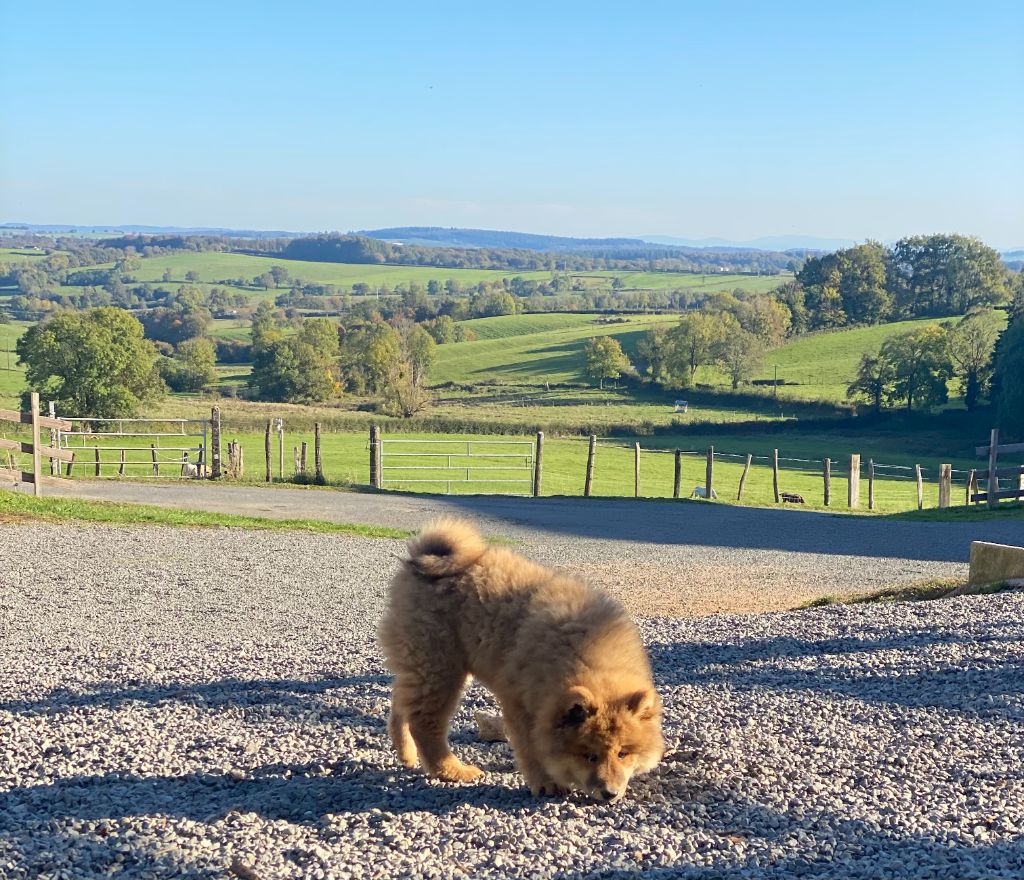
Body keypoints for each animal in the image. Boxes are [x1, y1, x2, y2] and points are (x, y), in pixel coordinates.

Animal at [376, 520, 663, 803]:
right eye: (589, 756)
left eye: (623, 753)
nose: (610, 793)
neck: (587, 654)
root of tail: (425, 555)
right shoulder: (521, 704)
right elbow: (532, 749)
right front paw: (547, 783)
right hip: (440, 664)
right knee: (424, 722)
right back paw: (451, 770)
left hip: (429, 663)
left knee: (402, 702)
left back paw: (406, 754)